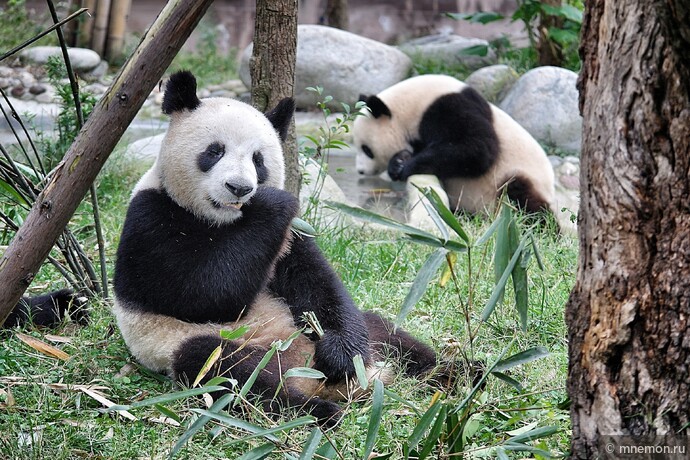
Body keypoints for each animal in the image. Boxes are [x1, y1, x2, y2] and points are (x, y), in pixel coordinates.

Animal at [110, 71, 448, 428]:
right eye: (215, 151)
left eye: (258, 160)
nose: (239, 188)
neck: (225, 221)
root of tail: (311, 377)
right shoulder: (151, 220)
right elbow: (204, 295)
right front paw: (271, 203)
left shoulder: (290, 236)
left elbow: (317, 283)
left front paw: (339, 355)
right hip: (195, 343)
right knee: (226, 370)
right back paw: (315, 411)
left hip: (358, 340)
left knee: (384, 332)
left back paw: (451, 373)